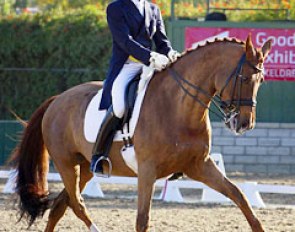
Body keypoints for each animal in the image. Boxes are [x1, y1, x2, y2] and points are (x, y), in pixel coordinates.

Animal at [10, 35, 272, 232]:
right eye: (244, 78)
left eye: (261, 80)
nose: (244, 124)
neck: (179, 107)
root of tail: (57, 100)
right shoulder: (147, 171)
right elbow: (142, 220)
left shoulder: (199, 165)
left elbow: (239, 195)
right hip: (66, 164)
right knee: (77, 204)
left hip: (84, 167)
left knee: (60, 206)